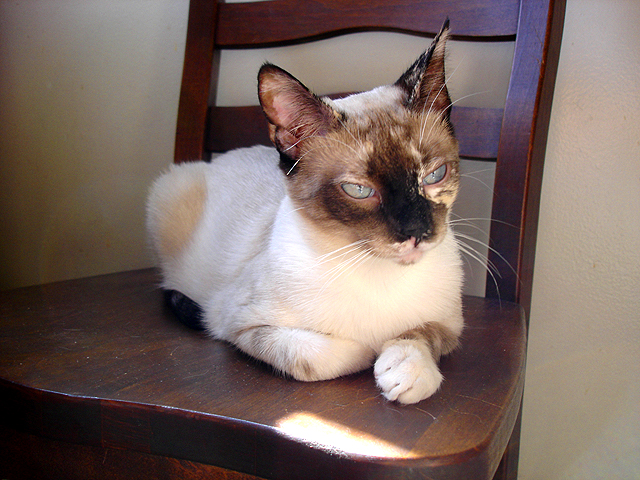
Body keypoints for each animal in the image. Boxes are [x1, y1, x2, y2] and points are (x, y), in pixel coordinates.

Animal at [148, 22, 462, 404]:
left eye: (434, 175)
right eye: (358, 190)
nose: (418, 233)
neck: (375, 274)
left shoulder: (450, 323)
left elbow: (420, 334)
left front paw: (406, 370)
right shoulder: (238, 322)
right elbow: (323, 357)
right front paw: (370, 353)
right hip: (168, 192)